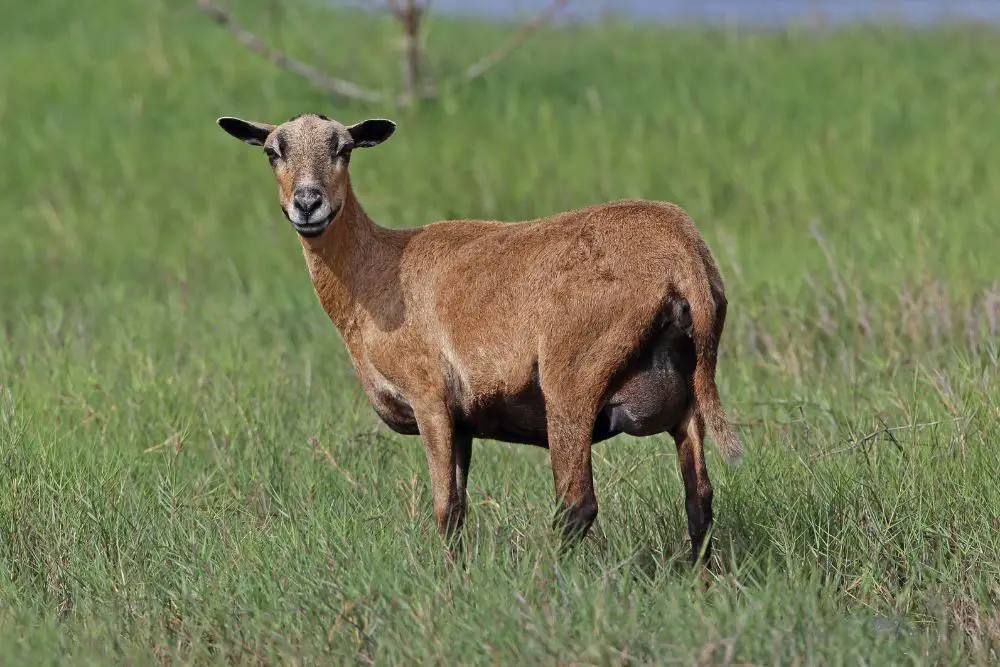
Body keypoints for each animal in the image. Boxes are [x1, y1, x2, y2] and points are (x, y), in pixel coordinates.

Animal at [219, 113, 744, 564]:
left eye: (343, 149)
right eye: (272, 151)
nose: (308, 204)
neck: (376, 272)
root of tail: (682, 256)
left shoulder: (429, 396)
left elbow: (444, 507)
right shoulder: (464, 421)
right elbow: (460, 506)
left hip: (573, 378)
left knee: (577, 505)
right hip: (687, 393)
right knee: (700, 502)